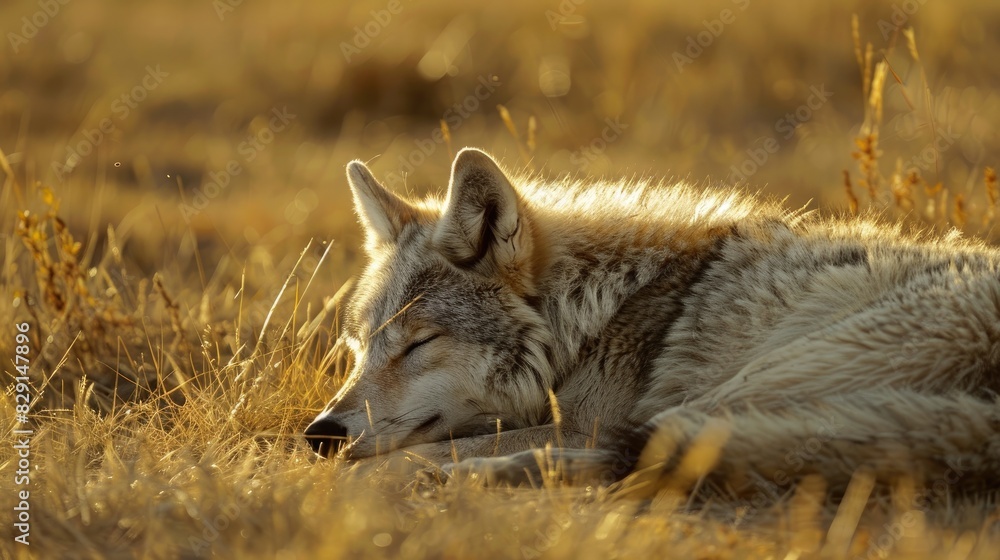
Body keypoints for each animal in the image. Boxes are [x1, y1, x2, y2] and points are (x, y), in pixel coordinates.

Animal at [305, 147, 1000, 493]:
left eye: (419, 343)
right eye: (359, 347)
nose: (320, 434)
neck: (595, 314)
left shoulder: (587, 419)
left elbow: (419, 451)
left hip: (765, 373)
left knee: (658, 452)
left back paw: (467, 476)